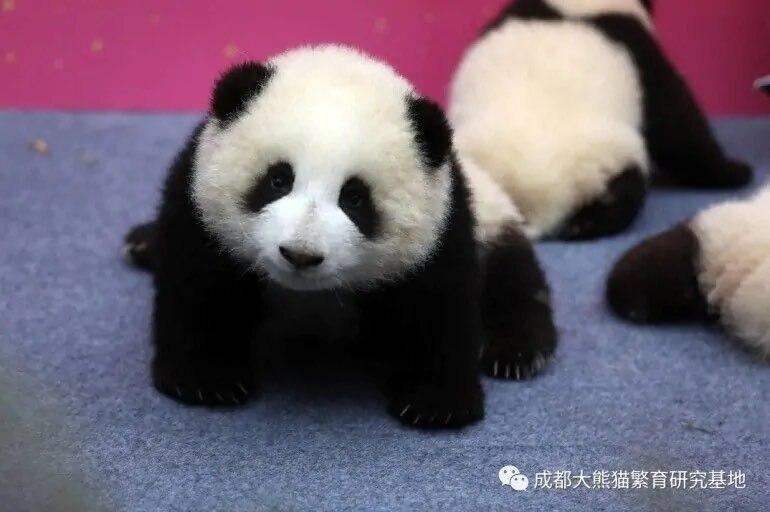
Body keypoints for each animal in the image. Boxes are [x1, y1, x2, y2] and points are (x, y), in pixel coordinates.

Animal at [123, 45, 557, 429]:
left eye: (355, 197)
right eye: (278, 179)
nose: (300, 255)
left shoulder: (443, 224)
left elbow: (438, 306)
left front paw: (436, 402)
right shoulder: (197, 201)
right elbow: (199, 288)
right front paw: (207, 378)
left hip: (494, 219)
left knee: (514, 279)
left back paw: (515, 350)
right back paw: (142, 242)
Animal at [449, 0, 753, 240]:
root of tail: (529, 201)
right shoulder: (643, 57)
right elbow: (679, 125)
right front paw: (734, 171)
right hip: (606, 157)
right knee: (625, 190)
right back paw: (589, 224)